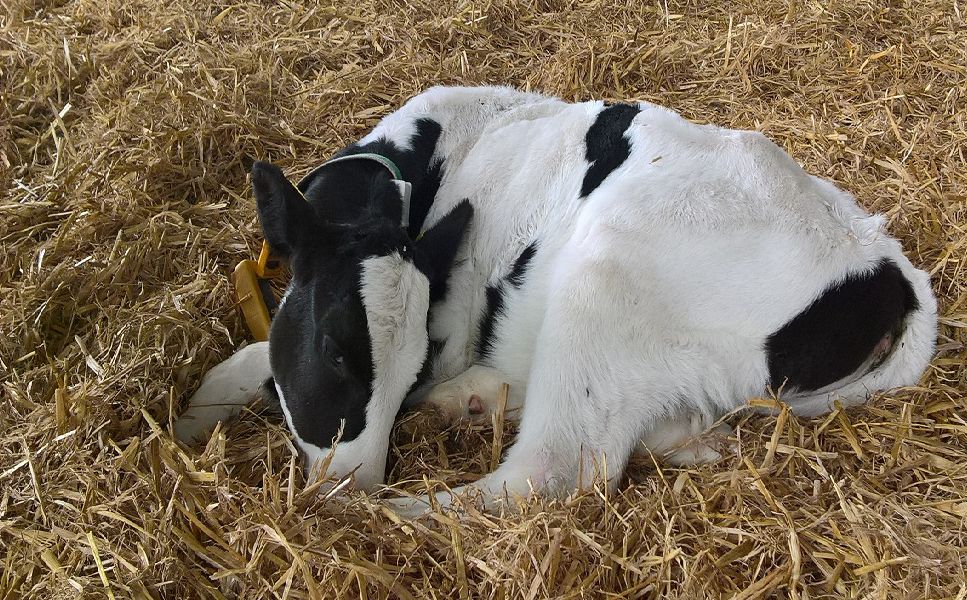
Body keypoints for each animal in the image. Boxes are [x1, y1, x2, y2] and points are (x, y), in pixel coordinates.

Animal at [174, 86, 937, 516]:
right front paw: (193, 418)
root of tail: (889, 272)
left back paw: (398, 511)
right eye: (336, 350)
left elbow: (257, 351)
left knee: (555, 471)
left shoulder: (448, 328)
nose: (347, 484)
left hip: (603, 278)